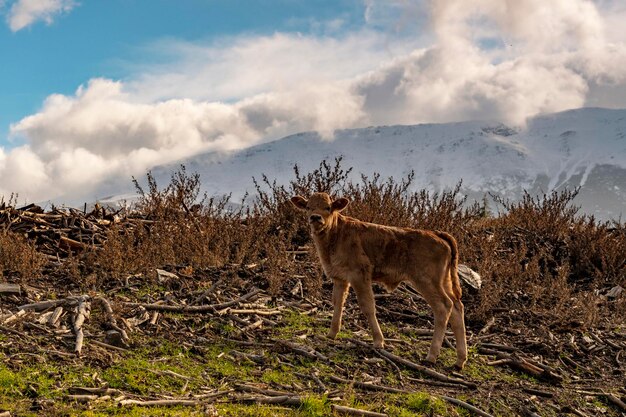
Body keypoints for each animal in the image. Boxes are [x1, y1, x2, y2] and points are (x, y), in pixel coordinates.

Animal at [290, 191, 466, 368]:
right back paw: (460, 360)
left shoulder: (359, 275)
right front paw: (331, 334)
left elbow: (367, 306)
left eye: (328, 207)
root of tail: (437, 234)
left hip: (426, 281)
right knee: (457, 308)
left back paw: (431, 356)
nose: (315, 217)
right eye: (308, 207)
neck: (336, 235)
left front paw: (378, 341)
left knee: (444, 307)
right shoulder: (340, 277)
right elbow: (338, 303)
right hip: (444, 282)